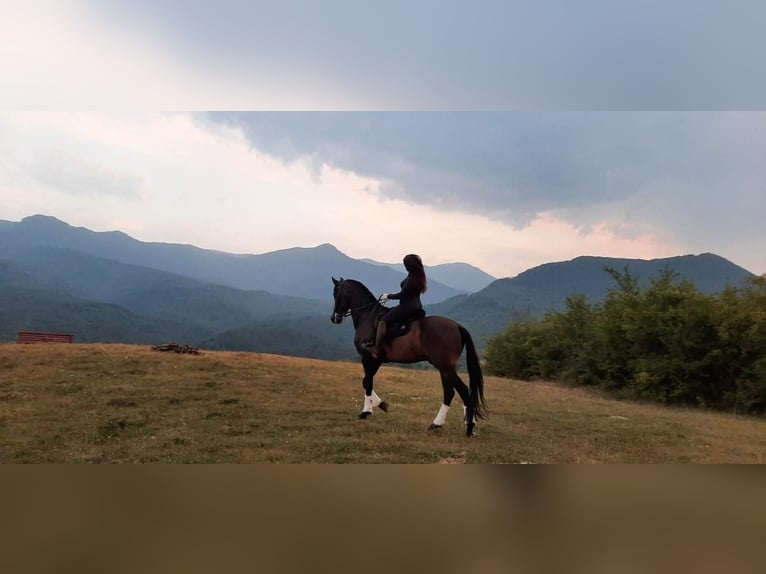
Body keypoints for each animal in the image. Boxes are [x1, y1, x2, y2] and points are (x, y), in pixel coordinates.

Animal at [330, 277, 487, 437]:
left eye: (336, 293)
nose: (334, 318)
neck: (367, 317)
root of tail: (457, 326)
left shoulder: (368, 358)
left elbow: (367, 382)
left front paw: (366, 411)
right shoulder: (376, 360)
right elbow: (366, 381)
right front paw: (381, 405)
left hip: (445, 367)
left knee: (463, 391)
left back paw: (469, 427)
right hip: (445, 368)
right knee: (449, 393)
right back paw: (437, 424)